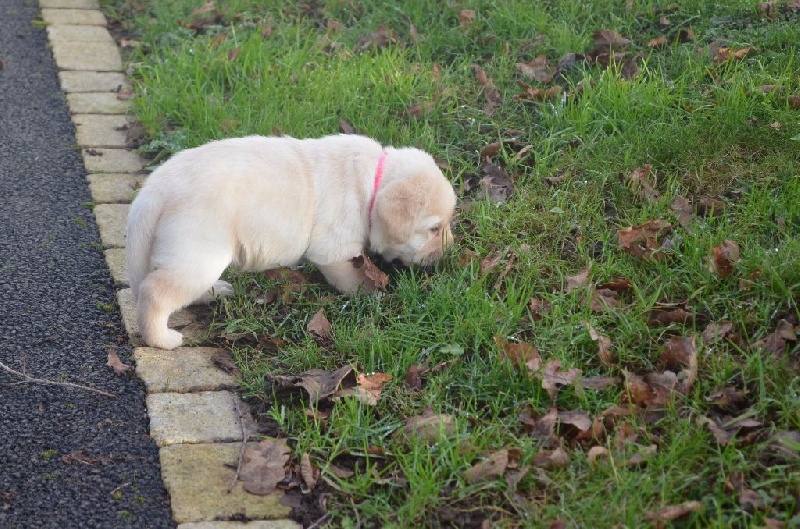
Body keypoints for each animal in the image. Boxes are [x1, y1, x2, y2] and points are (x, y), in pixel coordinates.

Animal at [126, 134, 456, 348]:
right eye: (433, 228)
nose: (446, 253)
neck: (372, 183)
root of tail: (155, 189)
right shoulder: (334, 250)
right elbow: (349, 275)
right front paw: (369, 292)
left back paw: (213, 292)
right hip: (200, 251)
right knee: (156, 291)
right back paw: (162, 339)